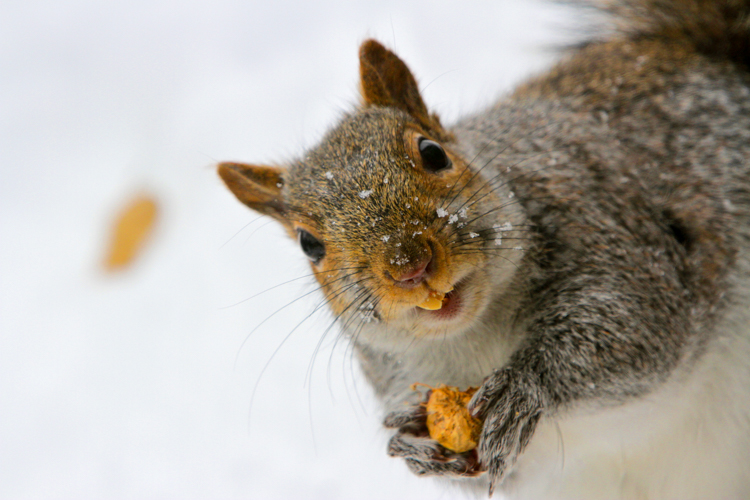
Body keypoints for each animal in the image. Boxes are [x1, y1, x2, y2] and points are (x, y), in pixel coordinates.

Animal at [216, 1, 750, 498]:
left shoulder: (615, 240)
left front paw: (523, 384)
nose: (409, 266)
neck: (479, 333)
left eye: (432, 152)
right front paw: (413, 441)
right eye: (309, 244)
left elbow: (634, 328)